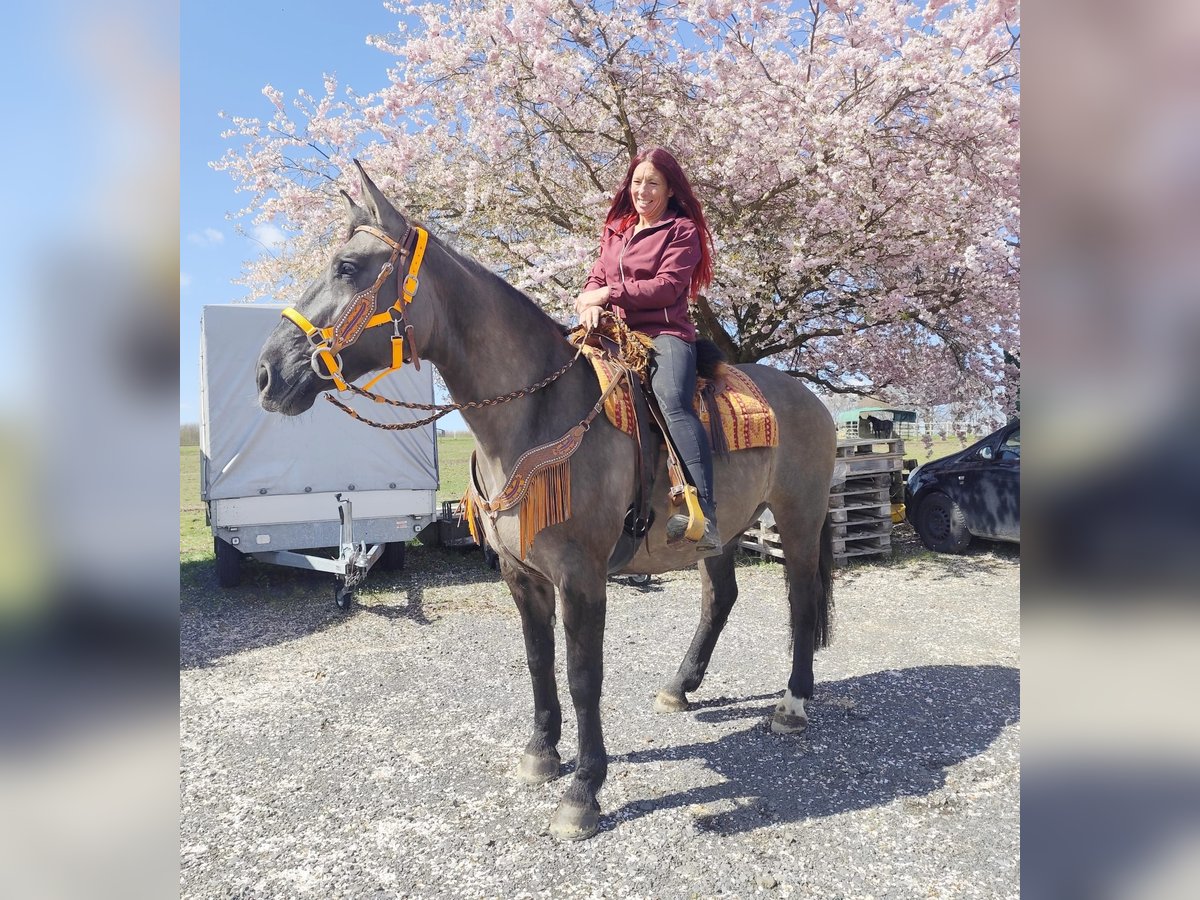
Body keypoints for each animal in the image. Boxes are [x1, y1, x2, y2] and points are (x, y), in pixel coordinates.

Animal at [256, 162, 837, 841]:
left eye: (347, 267)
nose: (267, 373)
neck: (534, 412)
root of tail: (812, 401)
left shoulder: (581, 576)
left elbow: (584, 676)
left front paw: (583, 792)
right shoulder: (521, 573)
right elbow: (538, 662)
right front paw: (541, 756)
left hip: (798, 519)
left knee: (801, 600)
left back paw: (793, 703)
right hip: (717, 533)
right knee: (721, 597)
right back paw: (680, 686)